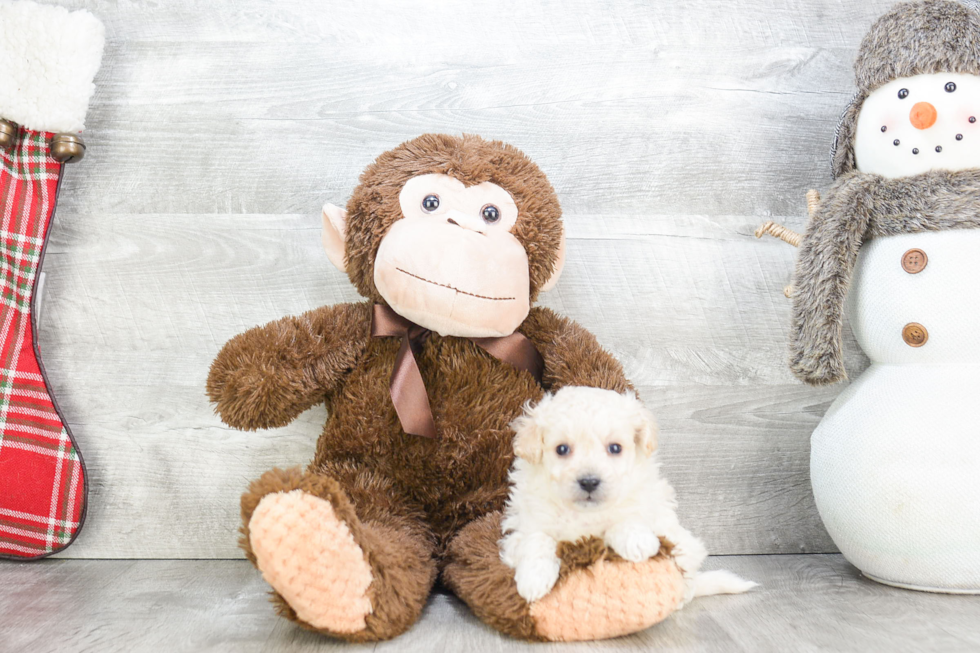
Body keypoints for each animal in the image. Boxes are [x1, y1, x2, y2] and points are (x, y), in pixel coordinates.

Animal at [502, 384, 756, 604]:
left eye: (615, 448)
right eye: (562, 449)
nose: (589, 482)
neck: (585, 514)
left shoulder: (648, 507)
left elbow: (625, 518)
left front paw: (637, 541)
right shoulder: (524, 525)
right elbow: (537, 539)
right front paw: (533, 580)